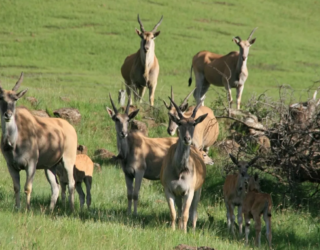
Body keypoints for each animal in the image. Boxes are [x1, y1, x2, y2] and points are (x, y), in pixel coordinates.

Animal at [0, 73, 77, 211]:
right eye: (0, 98)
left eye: (15, 99)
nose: (7, 115)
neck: (14, 142)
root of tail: (70, 127)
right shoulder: (11, 165)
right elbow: (16, 187)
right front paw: (17, 208)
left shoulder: (31, 164)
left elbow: (27, 187)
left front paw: (27, 209)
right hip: (50, 167)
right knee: (56, 187)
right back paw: (50, 210)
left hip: (68, 161)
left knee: (71, 183)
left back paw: (72, 209)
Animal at [160, 97, 208, 232]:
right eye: (180, 123)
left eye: (193, 124)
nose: (187, 139)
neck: (179, 171)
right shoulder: (169, 190)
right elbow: (174, 213)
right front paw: (173, 230)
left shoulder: (189, 191)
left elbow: (186, 214)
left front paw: (185, 232)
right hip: (179, 195)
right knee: (180, 211)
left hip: (198, 191)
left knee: (193, 212)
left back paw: (192, 229)